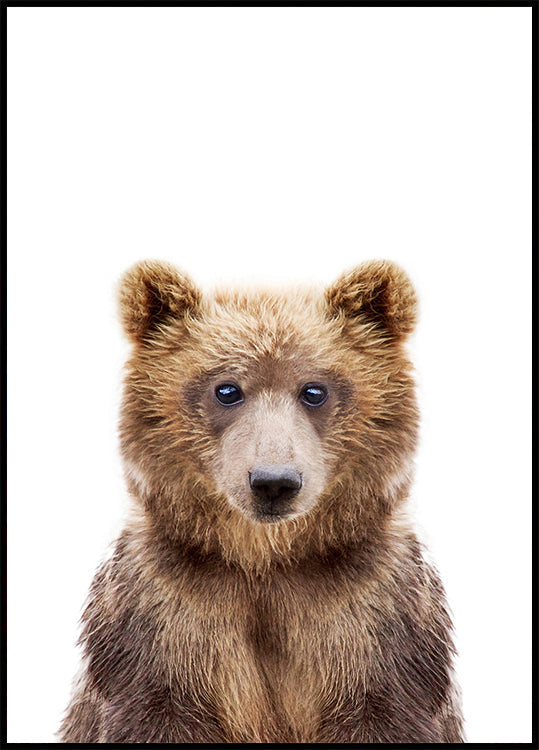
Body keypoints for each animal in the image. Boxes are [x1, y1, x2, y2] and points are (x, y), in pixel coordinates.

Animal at [58, 259, 464, 743]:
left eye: (314, 390)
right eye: (227, 389)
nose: (274, 482)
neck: (265, 559)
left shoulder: (374, 617)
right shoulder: (162, 618)